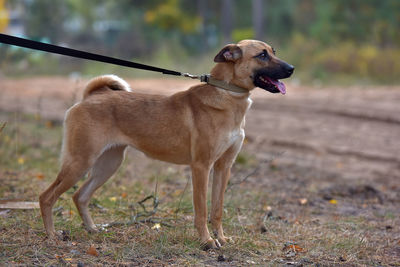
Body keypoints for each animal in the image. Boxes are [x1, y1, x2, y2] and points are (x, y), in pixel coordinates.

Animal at [39, 39, 294, 251]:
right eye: (262, 55)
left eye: (273, 51)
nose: (292, 68)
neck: (227, 95)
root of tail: (91, 97)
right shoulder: (201, 167)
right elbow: (201, 211)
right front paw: (207, 241)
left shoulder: (224, 167)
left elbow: (217, 210)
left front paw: (221, 238)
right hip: (80, 162)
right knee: (47, 197)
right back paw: (51, 235)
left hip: (107, 165)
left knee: (79, 196)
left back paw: (92, 229)